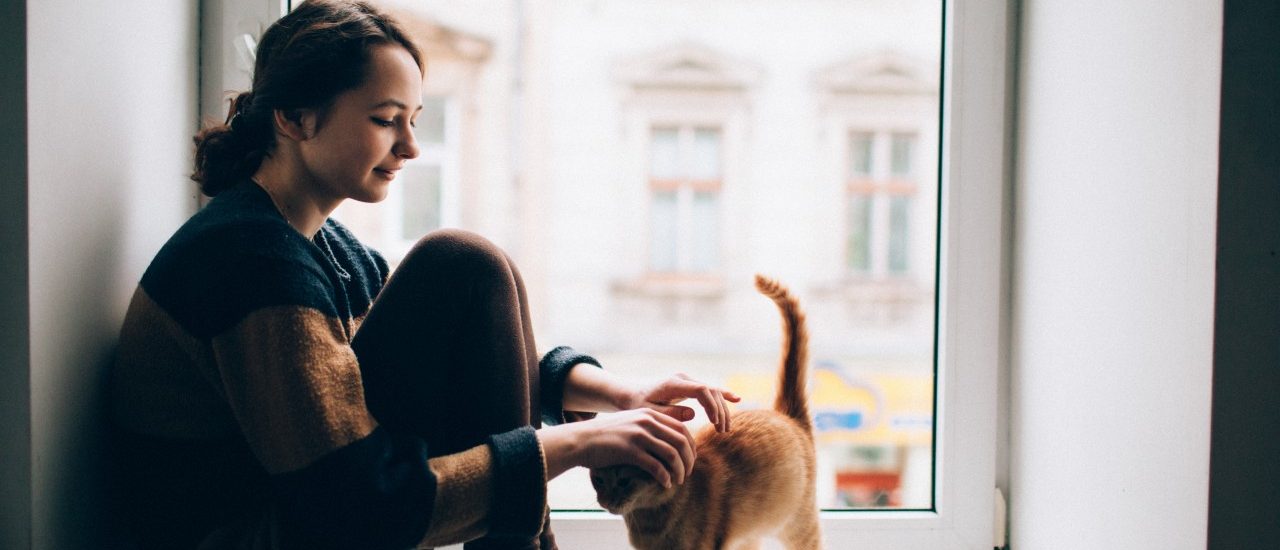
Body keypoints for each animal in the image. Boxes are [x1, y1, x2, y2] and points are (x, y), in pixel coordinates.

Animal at [588, 275, 819, 550]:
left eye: (624, 481)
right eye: (598, 480)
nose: (606, 501)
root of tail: (785, 415)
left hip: (798, 526)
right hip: (748, 539)